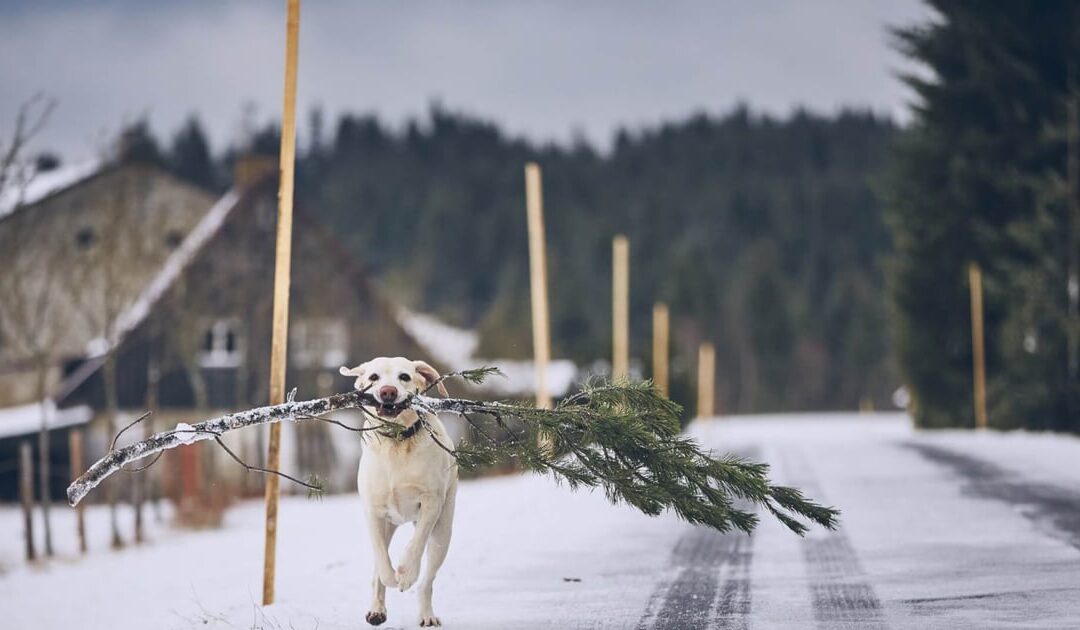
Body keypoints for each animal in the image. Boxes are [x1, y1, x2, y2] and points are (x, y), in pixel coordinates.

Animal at [336, 356, 455, 626]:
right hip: (389, 525)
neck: (397, 441)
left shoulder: (431, 503)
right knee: (377, 570)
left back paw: (426, 614)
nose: (387, 392)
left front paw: (406, 574)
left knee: (427, 580)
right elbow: (381, 558)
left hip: (443, 533)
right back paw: (376, 610)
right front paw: (392, 577)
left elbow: (416, 544)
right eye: (373, 377)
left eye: (404, 377)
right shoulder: (373, 512)